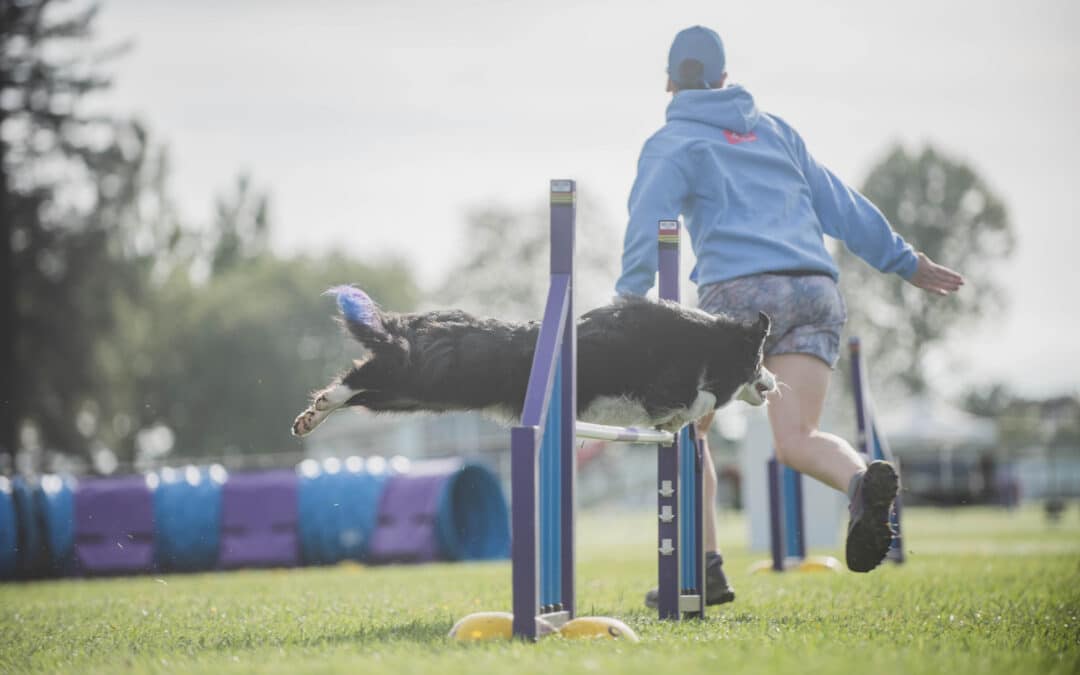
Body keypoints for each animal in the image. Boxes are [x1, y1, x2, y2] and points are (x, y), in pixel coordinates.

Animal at [289, 285, 777, 436]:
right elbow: (700, 401)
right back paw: (320, 405)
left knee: (361, 391)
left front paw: (669, 427)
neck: (708, 340)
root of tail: (414, 326)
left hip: (409, 396)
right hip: (422, 376)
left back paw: (311, 417)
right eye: (761, 360)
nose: (773, 382)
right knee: (360, 375)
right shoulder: (663, 384)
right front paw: (674, 421)